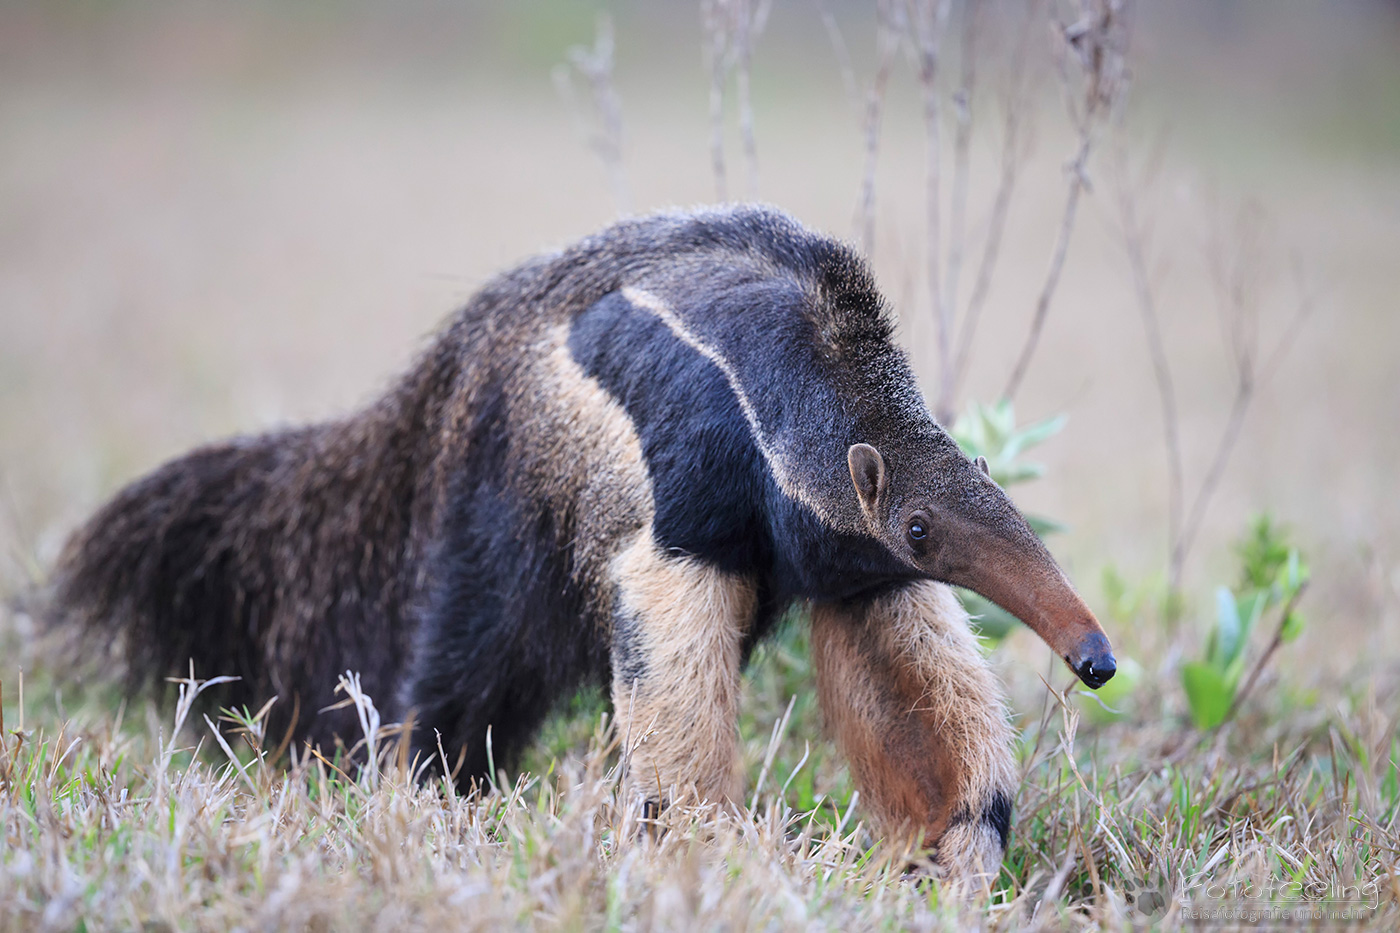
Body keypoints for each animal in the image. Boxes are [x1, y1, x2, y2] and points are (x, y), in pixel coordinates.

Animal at [45, 204, 1115, 880]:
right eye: (922, 528)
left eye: (961, 513)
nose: (1096, 657)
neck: (804, 377)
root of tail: (457, 366)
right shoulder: (686, 450)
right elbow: (666, 638)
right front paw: (704, 844)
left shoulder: (847, 557)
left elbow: (903, 675)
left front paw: (953, 846)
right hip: (514, 482)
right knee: (479, 641)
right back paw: (429, 777)